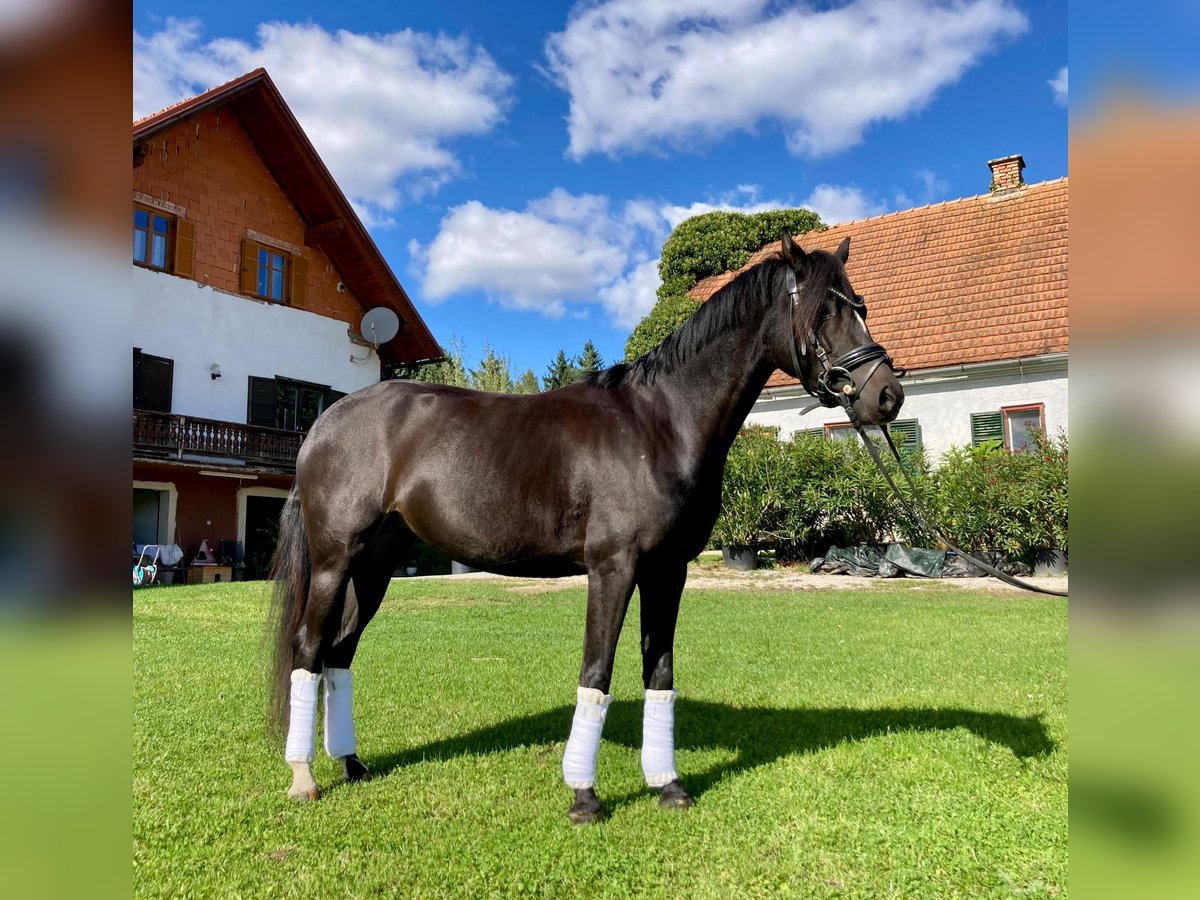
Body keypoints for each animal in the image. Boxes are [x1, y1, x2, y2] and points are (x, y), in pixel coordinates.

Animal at [270, 234, 902, 825]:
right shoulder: (613, 568)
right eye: (824, 310)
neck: (661, 424)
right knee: (308, 648)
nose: (887, 394)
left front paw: (669, 785)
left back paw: (352, 764)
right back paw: (303, 778)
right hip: (334, 562)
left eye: (863, 304)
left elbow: (659, 672)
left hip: (374, 567)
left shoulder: (668, 571)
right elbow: (596, 671)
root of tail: (324, 423)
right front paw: (584, 797)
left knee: (340, 653)